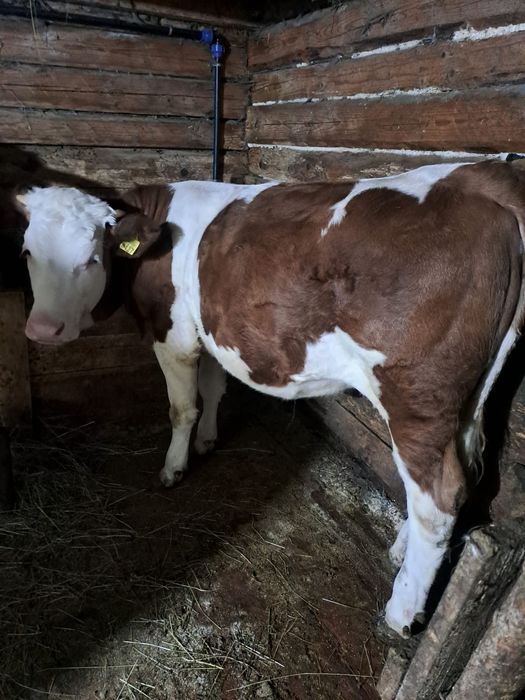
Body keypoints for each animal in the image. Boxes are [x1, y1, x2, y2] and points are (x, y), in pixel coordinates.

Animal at [15, 159, 525, 638]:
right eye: (27, 252)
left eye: (92, 258)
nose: (42, 329)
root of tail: (478, 175)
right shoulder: (210, 331)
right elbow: (214, 388)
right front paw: (208, 441)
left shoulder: (173, 334)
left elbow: (182, 408)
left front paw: (174, 466)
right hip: (468, 398)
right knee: (458, 475)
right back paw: (402, 550)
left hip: (415, 393)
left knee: (438, 497)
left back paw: (401, 612)